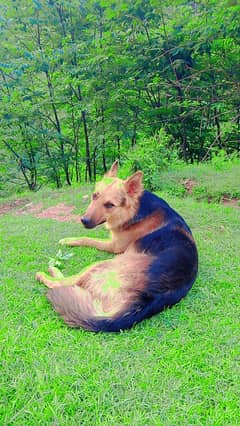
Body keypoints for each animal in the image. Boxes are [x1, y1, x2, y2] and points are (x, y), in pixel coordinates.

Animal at [35, 161, 197, 332]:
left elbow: (88, 239)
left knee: (64, 283)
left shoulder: (114, 246)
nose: (84, 221)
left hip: (100, 265)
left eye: (109, 205)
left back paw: (49, 273)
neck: (135, 209)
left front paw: (68, 240)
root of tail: (149, 297)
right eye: (95, 196)